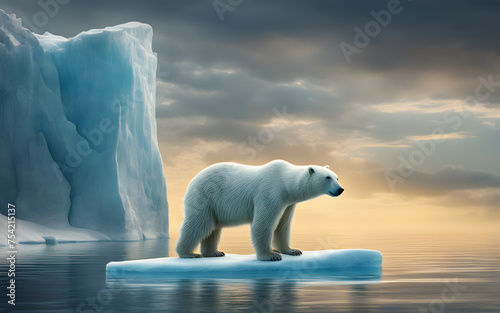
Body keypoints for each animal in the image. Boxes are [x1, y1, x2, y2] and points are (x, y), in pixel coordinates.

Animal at [176, 160, 344, 260]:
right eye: (327, 177)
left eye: (337, 177)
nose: (340, 189)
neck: (285, 182)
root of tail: (194, 178)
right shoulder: (270, 192)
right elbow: (263, 224)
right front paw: (271, 255)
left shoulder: (288, 203)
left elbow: (283, 226)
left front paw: (292, 250)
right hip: (205, 196)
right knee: (199, 224)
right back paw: (188, 253)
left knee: (213, 228)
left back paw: (214, 252)